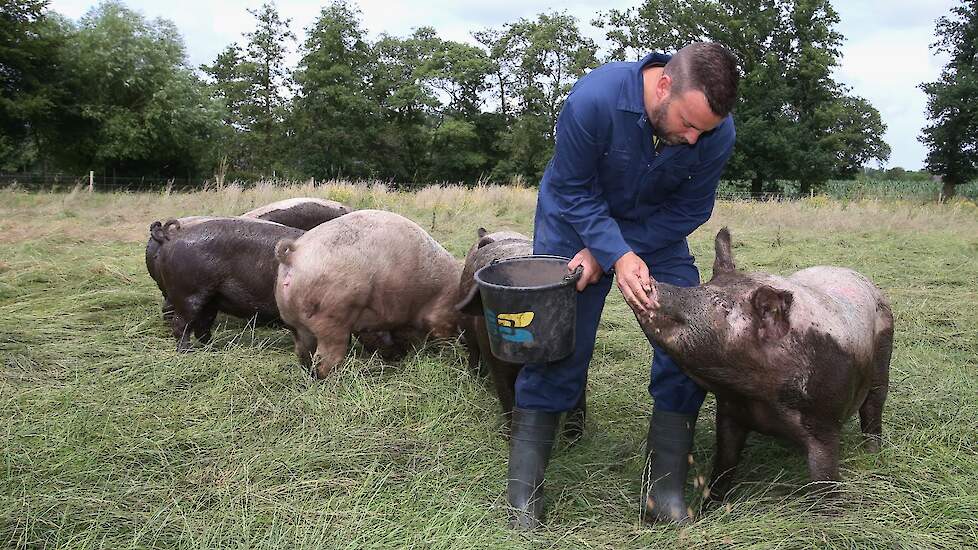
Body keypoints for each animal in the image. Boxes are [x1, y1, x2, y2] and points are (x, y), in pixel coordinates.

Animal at [146, 218, 302, 352]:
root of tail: (172, 236)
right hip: (188, 293)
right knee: (180, 324)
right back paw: (188, 352)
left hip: (210, 301)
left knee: (201, 326)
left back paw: (214, 348)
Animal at [272, 211, 460, 380]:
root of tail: (294, 255)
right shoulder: (439, 313)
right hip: (331, 319)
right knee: (326, 359)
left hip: (294, 323)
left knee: (303, 353)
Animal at [454, 229, 584, 440]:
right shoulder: (495, 360)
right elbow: (506, 394)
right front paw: (509, 436)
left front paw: (573, 438)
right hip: (467, 326)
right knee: (473, 352)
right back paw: (474, 377)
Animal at [632, 227, 892, 500]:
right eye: (704, 285)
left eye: (722, 305)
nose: (650, 282)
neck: (757, 397)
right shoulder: (729, 410)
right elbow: (724, 463)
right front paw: (711, 503)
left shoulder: (824, 421)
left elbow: (825, 479)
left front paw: (828, 508)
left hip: (882, 360)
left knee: (874, 409)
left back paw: (873, 453)